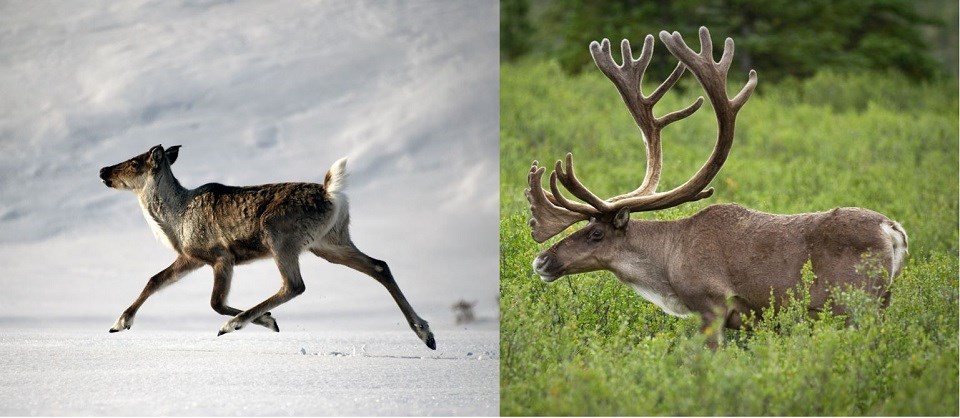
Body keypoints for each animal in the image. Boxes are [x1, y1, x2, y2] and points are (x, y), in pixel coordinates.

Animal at [99, 145, 436, 350]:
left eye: (134, 162)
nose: (103, 170)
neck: (175, 218)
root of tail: (332, 193)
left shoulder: (221, 257)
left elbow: (215, 302)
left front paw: (264, 321)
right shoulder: (191, 256)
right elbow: (154, 280)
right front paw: (119, 323)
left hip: (279, 236)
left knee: (295, 285)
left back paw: (233, 324)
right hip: (330, 243)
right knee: (380, 265)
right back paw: (425, 333)